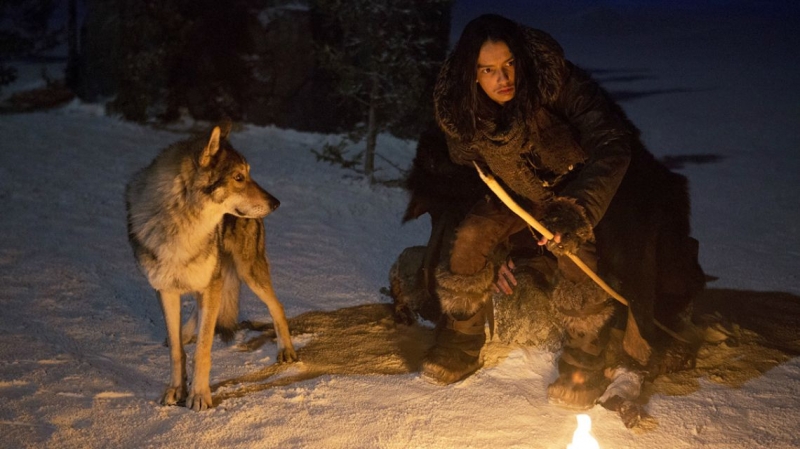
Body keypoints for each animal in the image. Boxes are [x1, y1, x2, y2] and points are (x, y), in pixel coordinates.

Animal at [125, 121, 296, 410]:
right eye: (238, 177)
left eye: (248, 174)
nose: (276, 203)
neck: (182, 228)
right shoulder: (165, 290)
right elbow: (177, 352)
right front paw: (176, 390)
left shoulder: (211, 283)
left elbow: (202, 351)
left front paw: (199, 395)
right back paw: (185, 333)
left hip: (247, 271)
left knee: (277, 306)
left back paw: (286, 350)